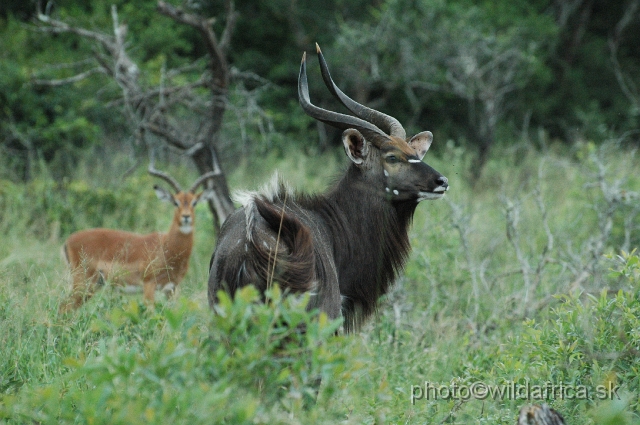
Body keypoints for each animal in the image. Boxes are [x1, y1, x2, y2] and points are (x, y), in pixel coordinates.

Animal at [60, 167, 220, 314]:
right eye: (175, 202)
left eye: (194, 202)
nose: (186, 217)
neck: (166, 247)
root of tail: (68, 241)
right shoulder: (149, 285)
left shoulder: (171, 288)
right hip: (83, 282)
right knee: (63, 307)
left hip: (93, 286)